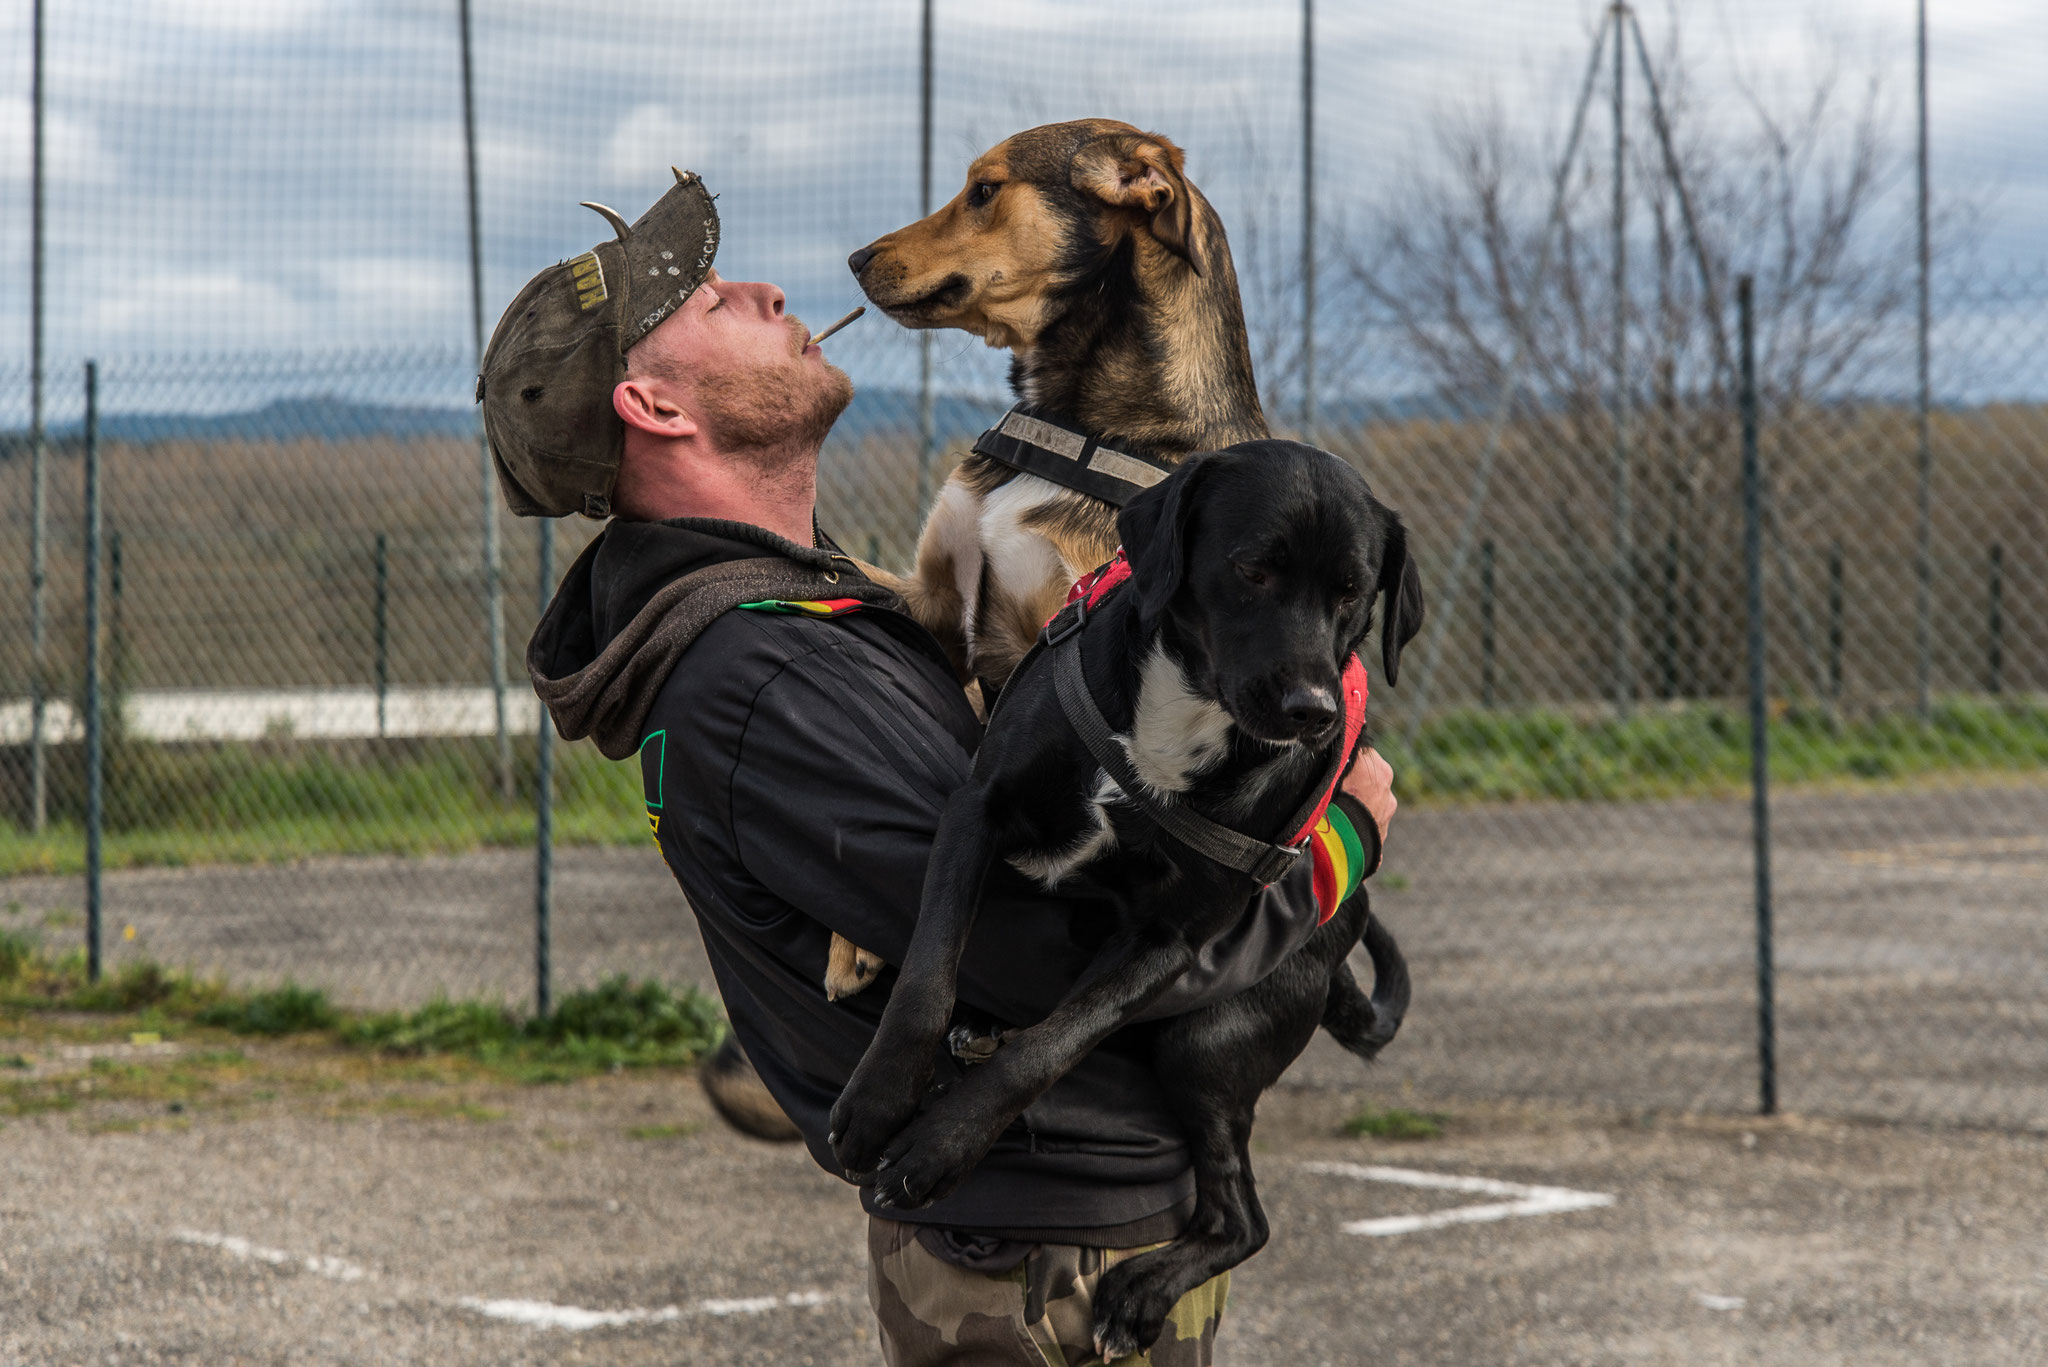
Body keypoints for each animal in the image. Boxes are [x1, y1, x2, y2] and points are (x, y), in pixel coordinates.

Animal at [831, 438, 1425, 1360]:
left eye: (1353, 591)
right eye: (1252, 568)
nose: (1314, 712)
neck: (1179, 723)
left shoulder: (1166, 943)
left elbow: (1052, 1044)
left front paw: (940, 1146)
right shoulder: (977, 808)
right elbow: (928, 970)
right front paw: (881, 1096)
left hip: (1206, 1042)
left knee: (1244, 1220)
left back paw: (1142, 1294)